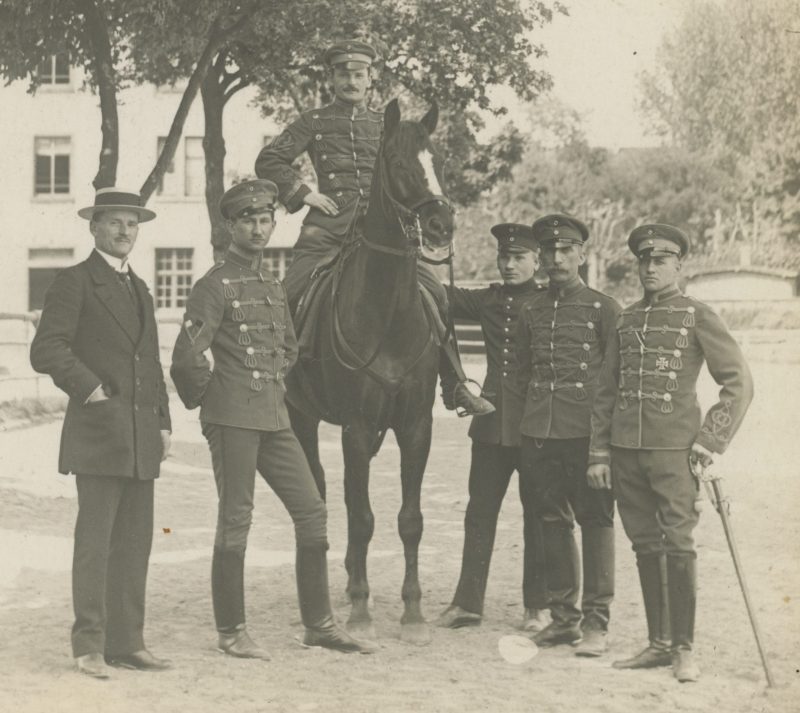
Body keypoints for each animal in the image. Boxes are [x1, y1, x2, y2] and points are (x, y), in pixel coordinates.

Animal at [288, 98, 454, 644]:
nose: (442, 224)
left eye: (437, 162)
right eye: (400, 163)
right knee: (321, 492)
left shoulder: (416, 426)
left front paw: (413, 612)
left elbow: (409, 519)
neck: (387, 313)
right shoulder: (357, 428)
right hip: (301, 418)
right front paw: (361, 611)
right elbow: (361, 518)